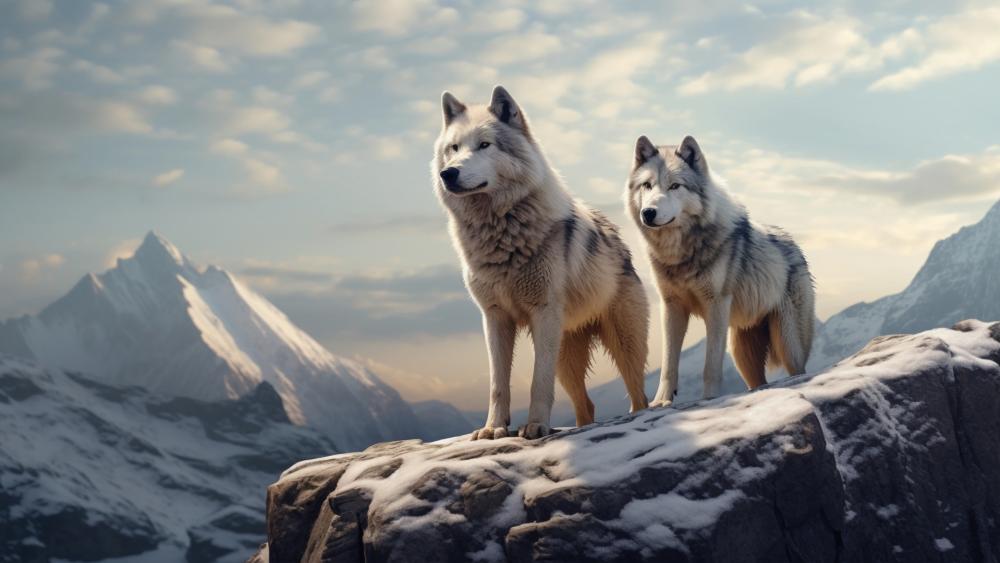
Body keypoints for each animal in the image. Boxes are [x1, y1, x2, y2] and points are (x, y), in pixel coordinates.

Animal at [432, 86, 649, 439]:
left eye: (484, 145)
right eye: (454, 148)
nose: (448, 173)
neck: (499, 232)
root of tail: (617, 237)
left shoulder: (543, 313)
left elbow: (538, 381)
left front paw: (535, 425)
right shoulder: (494, 319)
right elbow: (498, 384)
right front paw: (493, 428)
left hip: (621, 345)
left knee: (638, 394)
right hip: (567, 358)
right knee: (586, 406)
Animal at [626, 135, 815, 406]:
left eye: (675, 186)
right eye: (647, 185)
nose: (648, 213)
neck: (680, 254)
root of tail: (796, 246)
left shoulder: (715, 305)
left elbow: (710, 365)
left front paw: (710, 398)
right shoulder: (671, 307)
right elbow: (668, 364)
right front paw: (660, 402)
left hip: (788, 346)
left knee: (798, 370)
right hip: (742, 356)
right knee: (758, 383)